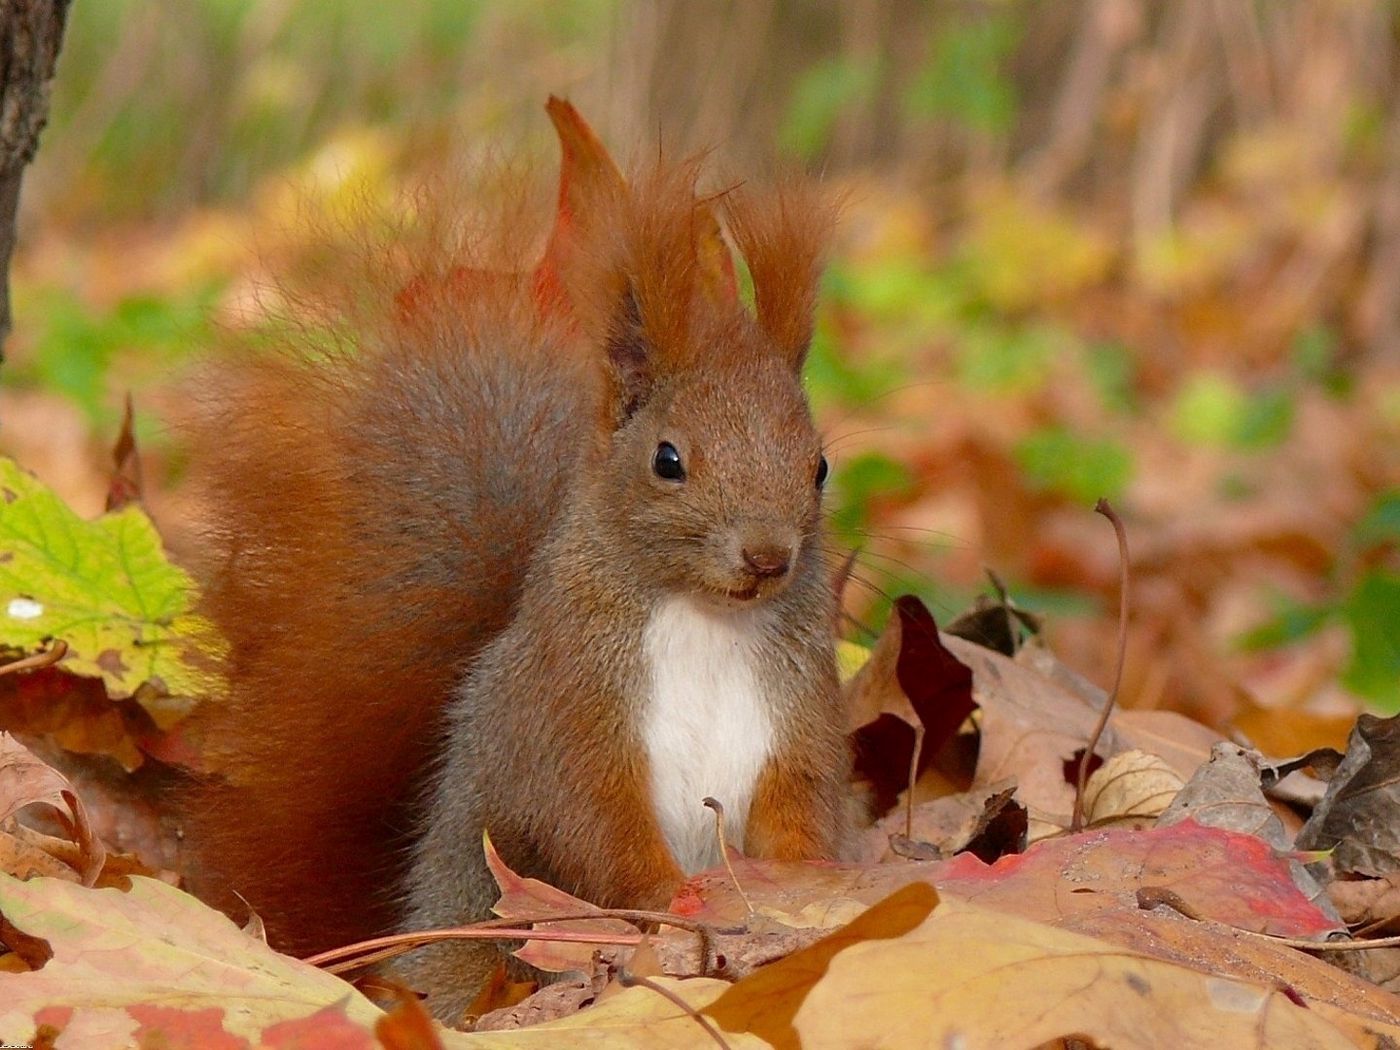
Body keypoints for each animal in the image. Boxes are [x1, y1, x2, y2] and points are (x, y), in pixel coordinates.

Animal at [180, 98, 845, 1019]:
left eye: (819, 466)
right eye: (668, 460)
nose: (768, 556)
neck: (707, 617)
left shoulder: (797, 714)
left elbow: (799, 813)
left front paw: (809, 891)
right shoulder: (569, 713)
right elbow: (596, 827)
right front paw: (676, 903)